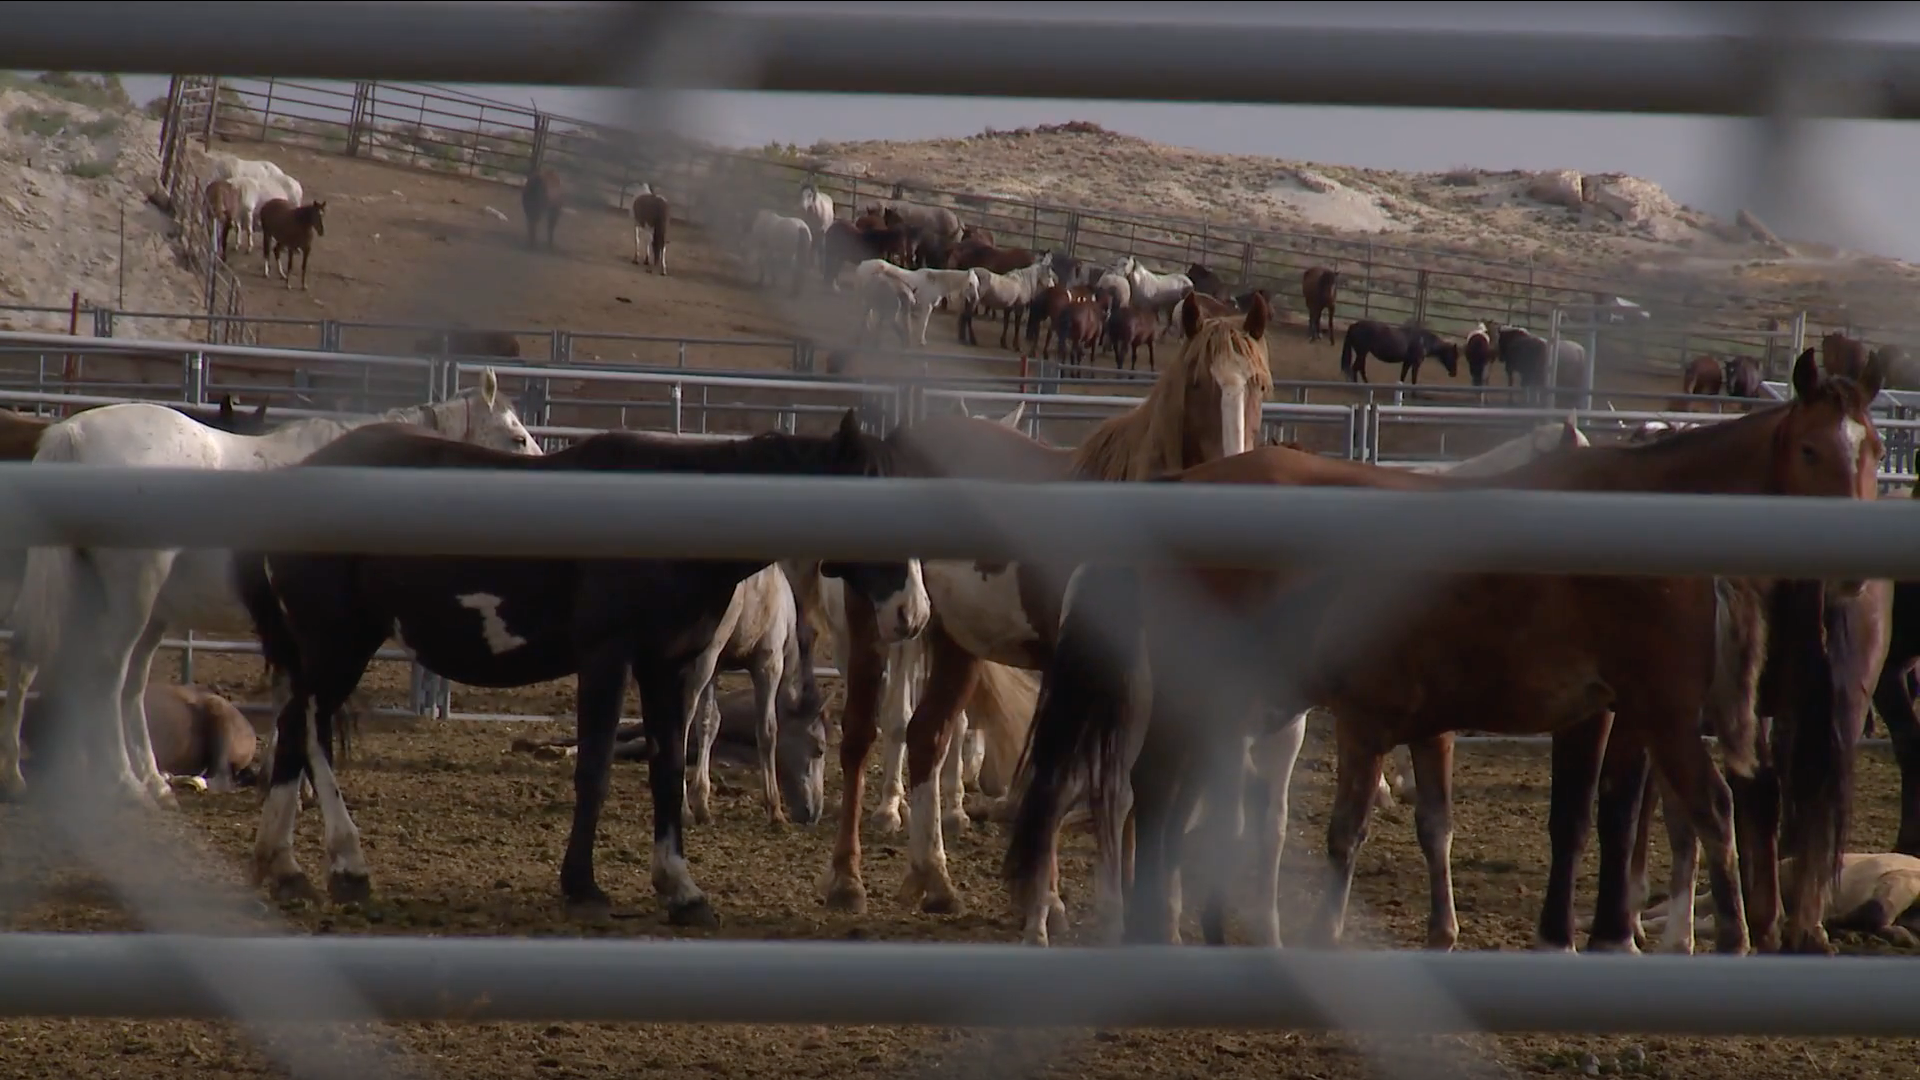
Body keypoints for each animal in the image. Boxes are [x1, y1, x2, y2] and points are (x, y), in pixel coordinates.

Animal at [0, 370, 538, 806]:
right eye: (516, 438)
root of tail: (72, 434)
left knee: (59, 670)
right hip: (131, 597)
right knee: (104, 677)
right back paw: (124, 784)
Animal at [234, 410, 930, 923]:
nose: (913, 613)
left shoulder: (669, 668)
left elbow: (668, 769)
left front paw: (680, 888)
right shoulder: (608, 659)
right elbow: (594, 769)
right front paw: (582, 885)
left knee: (295, 733)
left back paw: (285, 866)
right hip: (338, 644)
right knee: (310, 730)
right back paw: (346, 864)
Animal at [819, 292, 1275, 920]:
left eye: (1258, 383)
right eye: (1199, 384)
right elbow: (1090, 781)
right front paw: (1068, 902)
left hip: (956, 642)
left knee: (928, 737)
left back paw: (935, 878)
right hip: (877, 629)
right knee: (862, 735)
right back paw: (847, 878)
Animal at [1005, 348, 1885, 951]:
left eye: (1875, 451)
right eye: (1813, 449)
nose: (1855, 574)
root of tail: (1187, 490)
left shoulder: (1601, 714)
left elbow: (1586, 820)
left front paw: (1581, 933)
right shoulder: (1629, 713)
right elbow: (1619, 815)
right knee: (1155, 791)